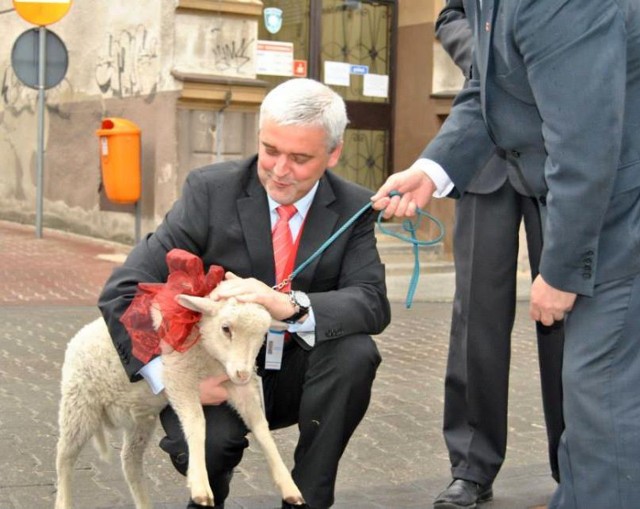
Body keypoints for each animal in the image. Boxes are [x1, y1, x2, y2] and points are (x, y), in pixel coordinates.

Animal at [55, 294, 304, 508]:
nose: (242, 373)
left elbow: (262, 428)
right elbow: (197, 423)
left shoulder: (238, 388)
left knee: (129, 461)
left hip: (140, 420)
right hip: (79, 403)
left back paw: (143, 503)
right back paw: (63, 501)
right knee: (64, 456)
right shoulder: (179, 380)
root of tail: (78, 336)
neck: (208, 356)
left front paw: (289, 486)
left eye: (263, 334)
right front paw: (200, 485)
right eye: (226, 328)